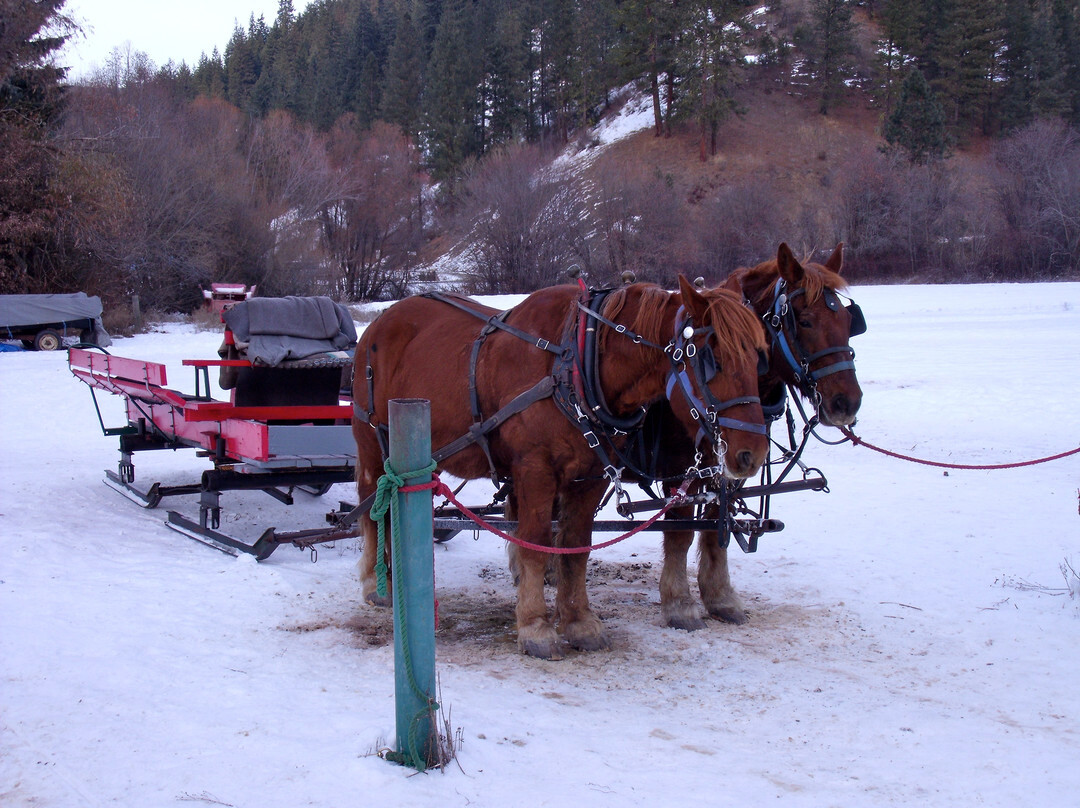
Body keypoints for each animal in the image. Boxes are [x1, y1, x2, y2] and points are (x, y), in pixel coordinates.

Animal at [354, 274, 768, 661]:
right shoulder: (535, 471)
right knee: (374, 508)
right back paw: (378, 582)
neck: (574, 365)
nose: (753, 453)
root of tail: (377, 325)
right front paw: (535, 627)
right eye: (713, 359)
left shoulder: (589, 478)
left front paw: (578, 622)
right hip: (374, 446)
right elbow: (535, 544)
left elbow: (576, 548)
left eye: (758, 356)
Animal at [656, 241, 859, 630]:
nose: (848, 402)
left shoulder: (732, 464)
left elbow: (714, 527)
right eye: (805, 321)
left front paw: (720, 596)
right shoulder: (678, 467)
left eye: (848, 320)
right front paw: (678, 603)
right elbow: (680, 531)